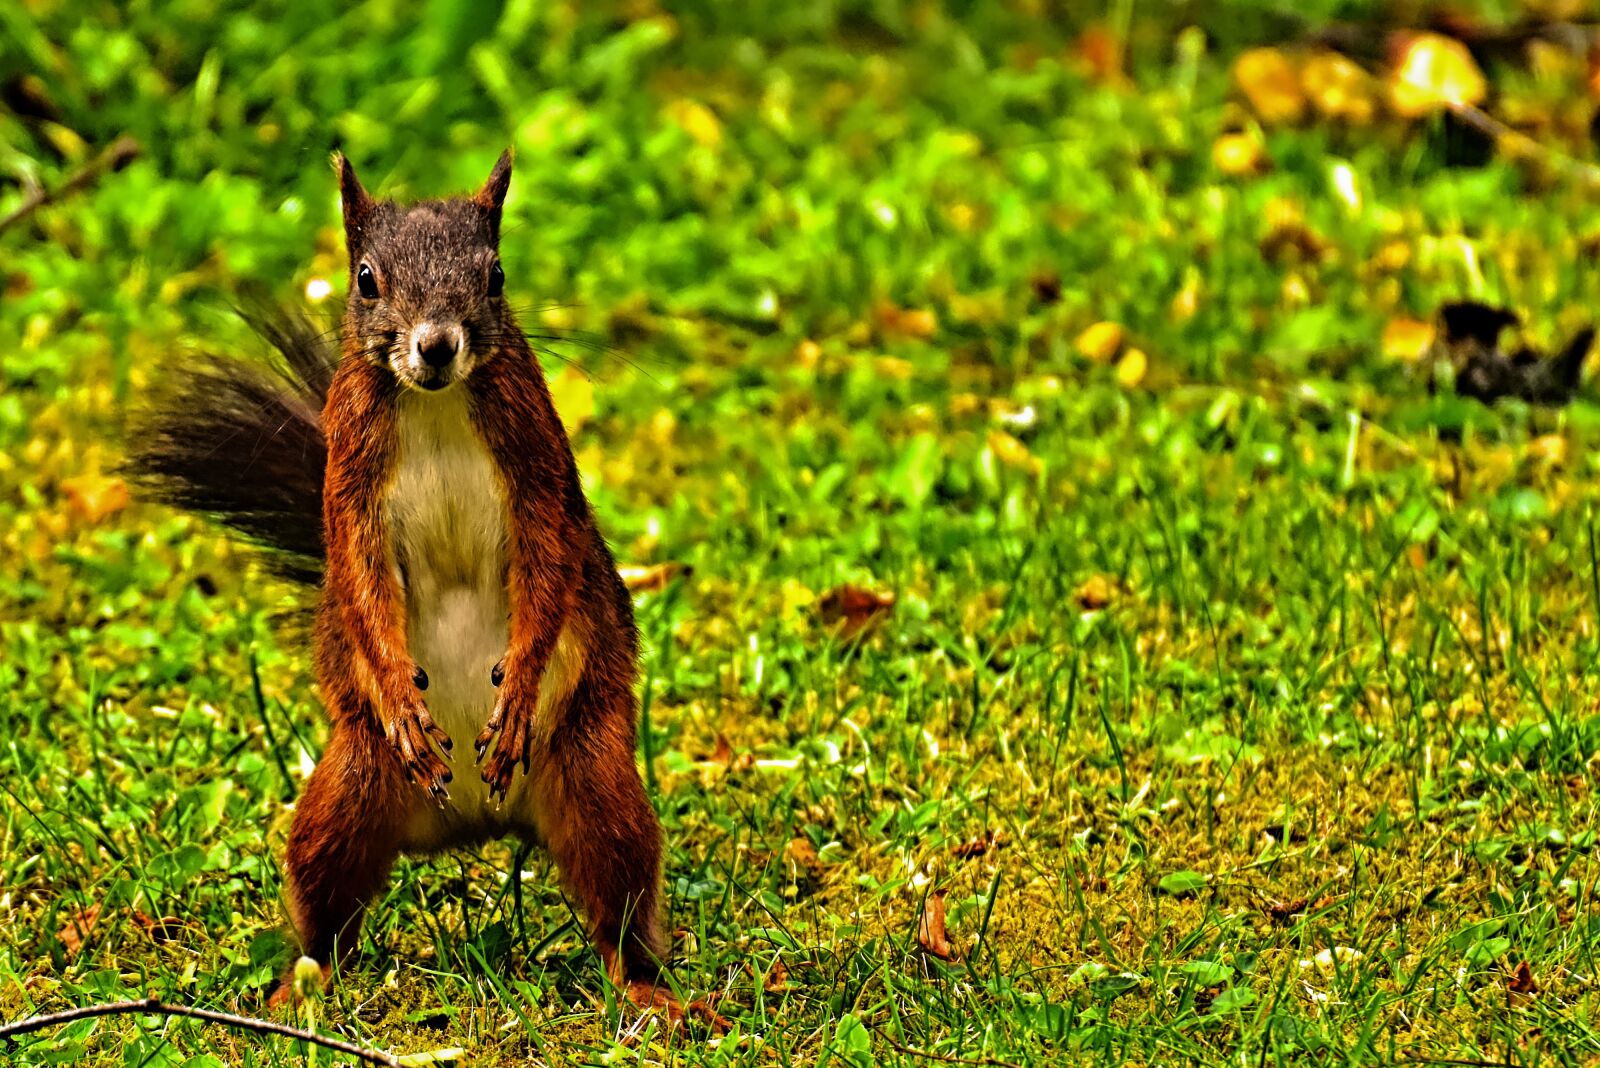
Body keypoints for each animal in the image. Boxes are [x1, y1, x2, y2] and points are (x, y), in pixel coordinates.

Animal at [127, 151, 691, 1020]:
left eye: (496, 277)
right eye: (366, 279)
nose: (436, 345)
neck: (435, 403)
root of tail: (477, 824)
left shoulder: (540, 464)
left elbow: (551, 564)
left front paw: (518, 687)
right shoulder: (350, 477)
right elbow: (359, 578)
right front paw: (396, 686)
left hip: (594, 777)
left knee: (619, 898)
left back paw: (646, 988)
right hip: (351, 789)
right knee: (326, 902)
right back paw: (300, 987)